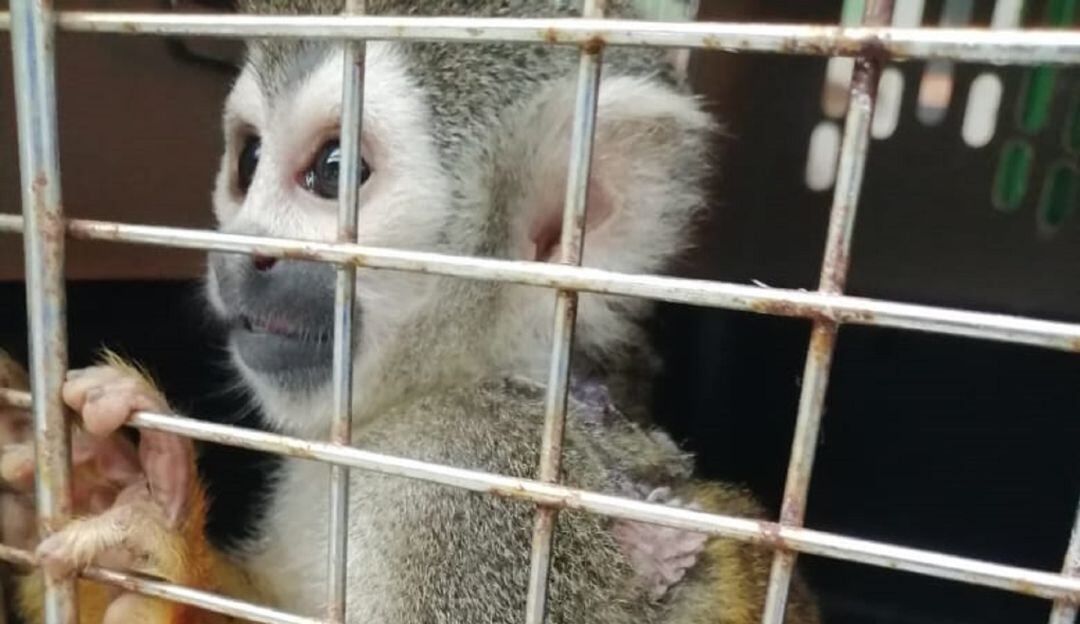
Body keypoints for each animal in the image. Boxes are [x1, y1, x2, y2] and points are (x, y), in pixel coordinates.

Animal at [0, 0, 822, 622]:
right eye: (248, 160)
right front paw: (99, 483)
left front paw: (166, 546)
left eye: (333, 171)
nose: (238, 258)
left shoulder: (468, 483)